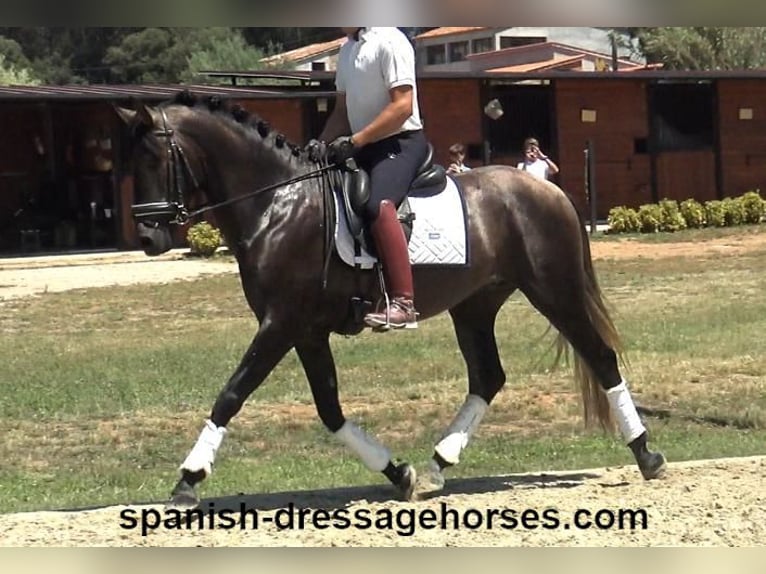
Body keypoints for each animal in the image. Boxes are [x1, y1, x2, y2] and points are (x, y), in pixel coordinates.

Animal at [114, 92, 664, 510]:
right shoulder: (306, 331)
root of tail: (544, 188)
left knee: (600, 357)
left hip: (554, 290)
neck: (276, 205)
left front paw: (188, 478)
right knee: (488, 377)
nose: (148, 238)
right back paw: (439, 465)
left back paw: (646, 455)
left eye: (154, 159)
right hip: (476, 304)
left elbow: (232, 393)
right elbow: (330, 410)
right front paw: (398, 473)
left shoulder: (280, 323)